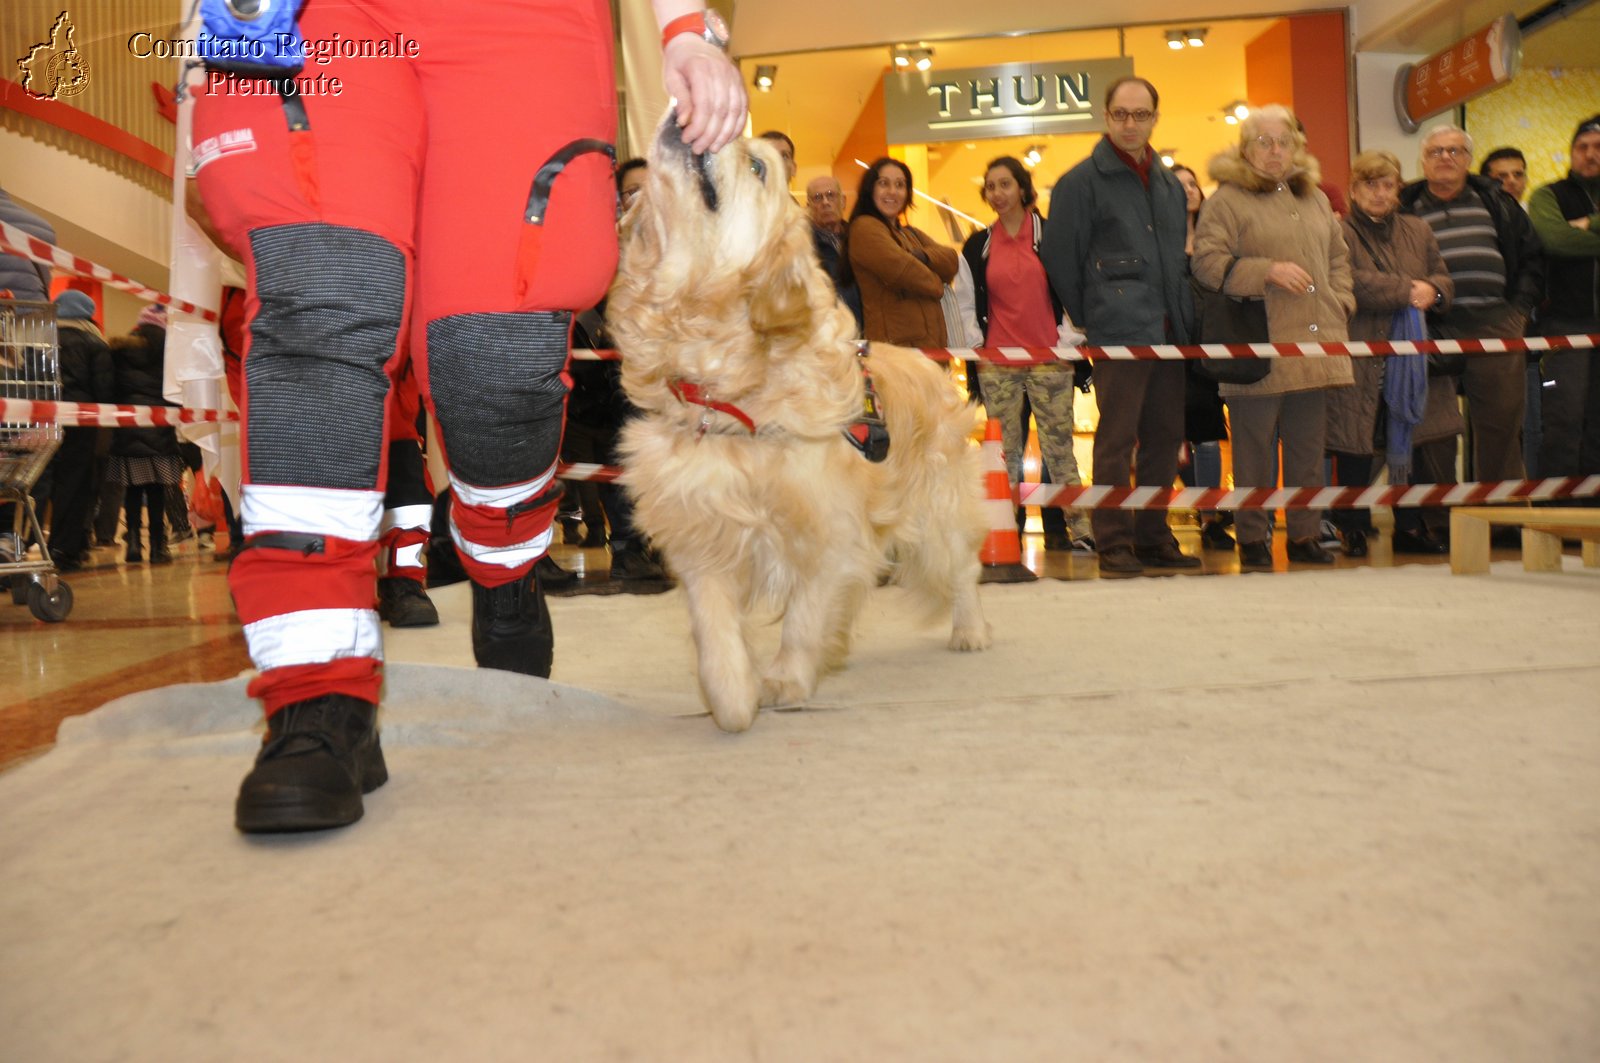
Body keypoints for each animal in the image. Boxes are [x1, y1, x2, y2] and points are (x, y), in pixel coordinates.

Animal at [604, 120, 985, 726]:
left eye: (758, 166)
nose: (697, 122)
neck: (731, 394)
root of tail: (926, 363)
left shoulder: (831, 528)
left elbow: (804, 615)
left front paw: (785, 678)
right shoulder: (701, 528)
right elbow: (713, 629)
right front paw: (732, 698)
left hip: (936, 511)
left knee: (963, 569)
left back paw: (969, 631)